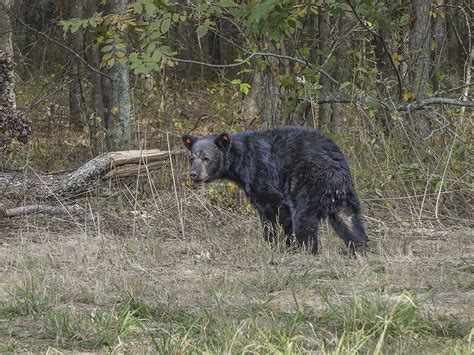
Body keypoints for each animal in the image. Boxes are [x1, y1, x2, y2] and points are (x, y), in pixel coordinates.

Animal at [183, 126, 368, 253]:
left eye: (206, 158)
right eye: (192, 158)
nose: (193, 174)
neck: (240, 161)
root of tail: (335, 167)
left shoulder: (262, 176)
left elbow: (277, 210)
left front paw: (285, 245)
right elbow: (266, 217)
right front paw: (271, 242)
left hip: (309, 181)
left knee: (303, 216)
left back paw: (307, 249)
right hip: (343, 192)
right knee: (348, 218)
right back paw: (359, 246)